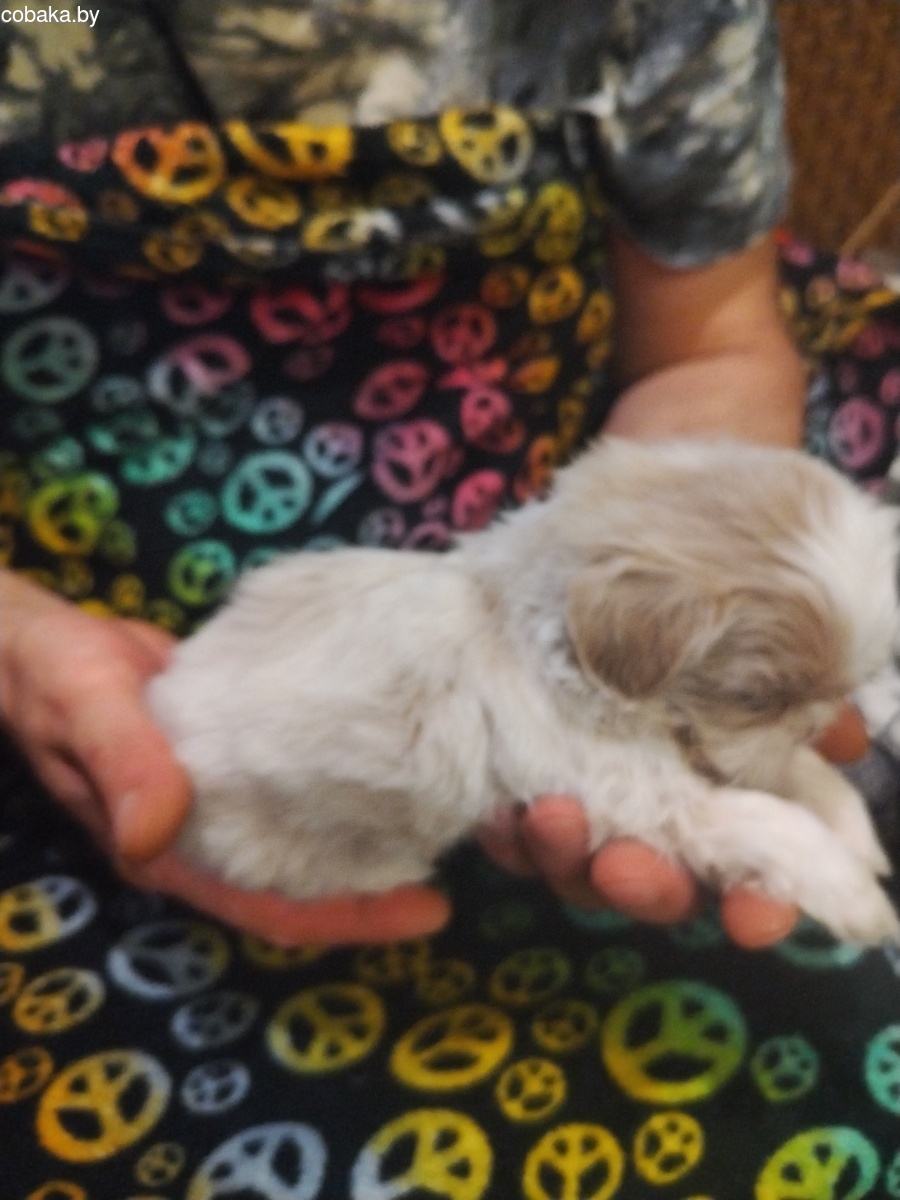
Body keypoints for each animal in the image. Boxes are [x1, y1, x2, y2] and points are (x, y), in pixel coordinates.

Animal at [147, 437, 900, 944]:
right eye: (755, 699)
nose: (815, 720)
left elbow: (798, 778)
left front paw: (852, 828)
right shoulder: (650, 798)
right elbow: (767, 820)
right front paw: (856, 896)